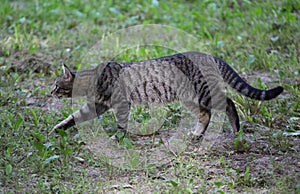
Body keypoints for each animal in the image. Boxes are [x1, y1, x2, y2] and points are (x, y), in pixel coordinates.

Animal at [51, 51, 284, 139]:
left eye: (56, 85)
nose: (50, 92)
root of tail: (208, 54)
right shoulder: (97, 105)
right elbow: (74, 116)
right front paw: (59, 128)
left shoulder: (121, 103)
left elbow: (121, 124)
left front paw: (118, 137)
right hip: (191, 98)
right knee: (206, 114)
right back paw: (197, 133)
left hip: (204, 93)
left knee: (228, 102)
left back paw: (236, 129)